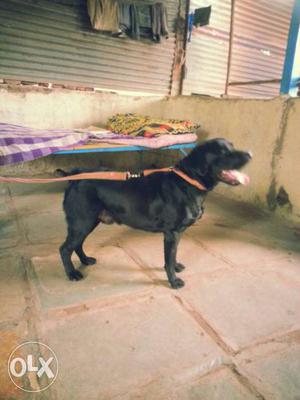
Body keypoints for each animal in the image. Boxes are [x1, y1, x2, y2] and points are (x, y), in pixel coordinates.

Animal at [59, 139, 251, 290]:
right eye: (223, 152)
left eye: (232, 146)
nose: (250, 153)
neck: (187, 183)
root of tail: (74, 177)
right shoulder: (172, 233)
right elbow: (169, 259)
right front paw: (173, 281)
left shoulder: (176, 233)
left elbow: (172, 256)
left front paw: (175, 267)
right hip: (82, 222)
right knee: (65, 249)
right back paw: (72, 273)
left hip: (87, 223)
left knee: (76, 245)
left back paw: (85, 261)